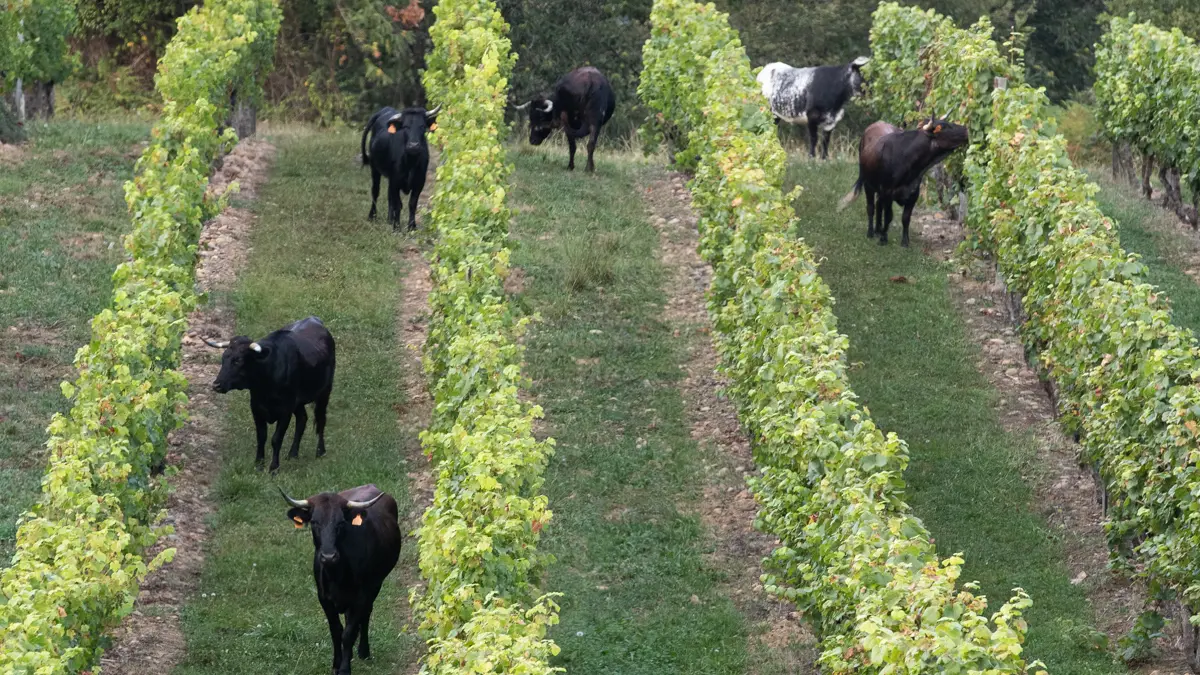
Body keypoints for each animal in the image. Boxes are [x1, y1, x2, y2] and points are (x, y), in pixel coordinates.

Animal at [201, 314, 333, 468]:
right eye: (224, 358)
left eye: (238, 360)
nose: (216, 385)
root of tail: (314, 319)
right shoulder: (256, 408)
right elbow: (261, 437)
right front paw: (259, 464)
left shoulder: (285, 411)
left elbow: (276, 439)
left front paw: (274, 467)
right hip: (298, 402)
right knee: (302, 419)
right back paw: (293, 454)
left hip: (324, 392)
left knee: (321, 420)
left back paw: (320, 451)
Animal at [278, 482, 400, 672]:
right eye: (314, 522)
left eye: (341, 522)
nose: (328, 556)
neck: (337, 573)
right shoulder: (324, 597)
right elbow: (336, 630)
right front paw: (337, 662)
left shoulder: (361, 596)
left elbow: (348, 633)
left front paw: (345, 668)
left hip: (376, 585)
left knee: (366, 615)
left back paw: (363, 651)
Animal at [840, 115, 969, 247]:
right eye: (945, 126)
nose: (966, 129)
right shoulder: (888, 191)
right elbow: (889, 216)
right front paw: (883, 238)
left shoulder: (913, 193)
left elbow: (906, 218)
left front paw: (904, 241)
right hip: (868, 184)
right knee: (871, 207)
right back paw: (871, 232)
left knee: (878, 204)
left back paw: (878, 230)